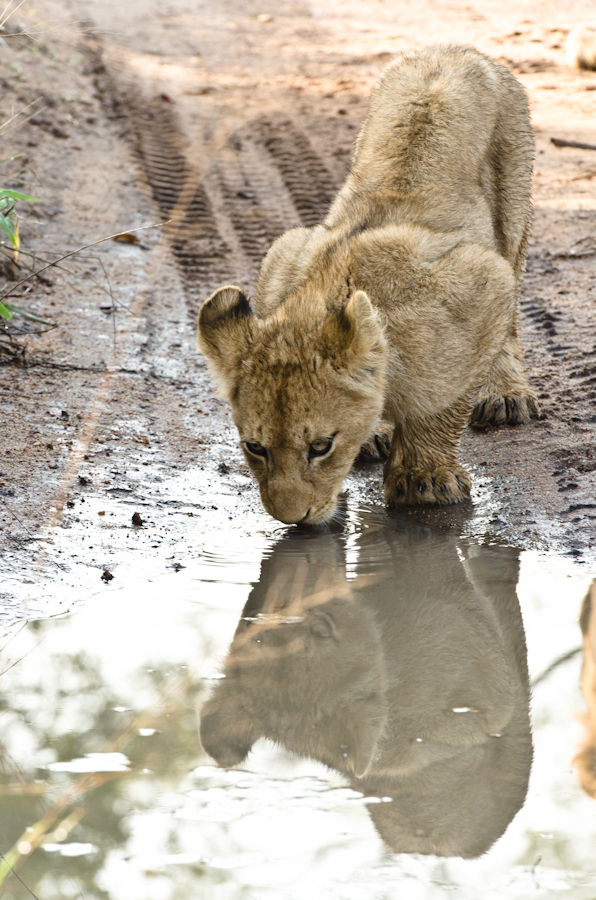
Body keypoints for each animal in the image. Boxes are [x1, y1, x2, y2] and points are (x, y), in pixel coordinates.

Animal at [198, 45, 538, 524]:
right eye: (255, 448)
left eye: (320, 447)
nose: (290, 518)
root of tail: (452, 49)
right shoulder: (285, 254)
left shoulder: (481, 279)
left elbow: (439, 401)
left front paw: (423, 478)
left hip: (513, 207)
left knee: (509, 314)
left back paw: (506, 394)